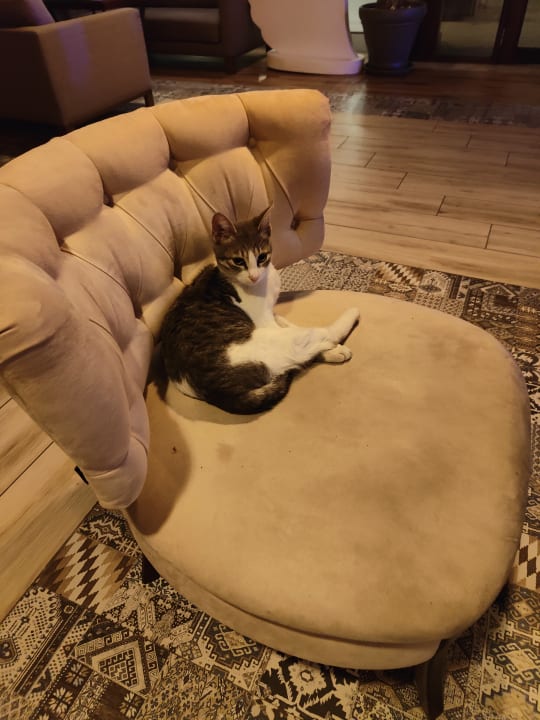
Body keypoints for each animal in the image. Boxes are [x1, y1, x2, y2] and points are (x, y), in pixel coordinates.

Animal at [160, 206, 360, 414]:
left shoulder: (272, 314)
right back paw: (349, 317)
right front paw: (334, 349)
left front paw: (332, 350)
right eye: (238, 261)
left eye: (262, 257)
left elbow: (288, 323)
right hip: (271, 342)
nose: (254, 276)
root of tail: (218, 392)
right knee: (317, 335)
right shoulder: (265, 320)